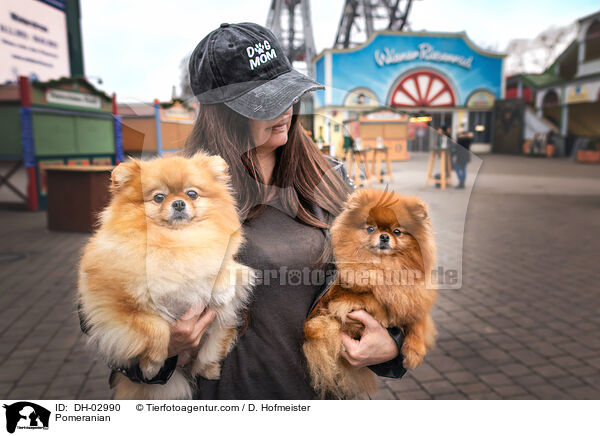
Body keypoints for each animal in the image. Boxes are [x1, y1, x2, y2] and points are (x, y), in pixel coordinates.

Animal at [78, 152, 253, 398]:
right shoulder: (110, 304)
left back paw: (209, 369)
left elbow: (226, 265)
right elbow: (155, 328)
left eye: (192, 194)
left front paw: (221, 289)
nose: (178, 203)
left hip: (220, 329)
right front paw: (151, 365)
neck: (175, 241)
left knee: (211, 350)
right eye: (159, 197)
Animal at [304, 187, 436, 398]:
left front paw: (415, 351)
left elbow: (417, 320)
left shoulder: (415, 297)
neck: (384, 267)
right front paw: (383, 314)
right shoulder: (335, 297)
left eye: (397, 231)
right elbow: (368, 296)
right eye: (370, 229)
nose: (384, 236)